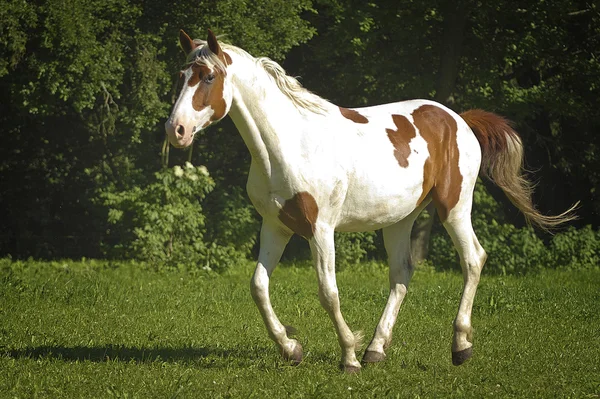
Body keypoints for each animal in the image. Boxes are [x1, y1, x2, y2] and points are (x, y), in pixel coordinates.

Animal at [164, 29, 576, 374]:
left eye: (208, 77)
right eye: (182, 76)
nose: (176, 130)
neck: (289, 144)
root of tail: (458, 119)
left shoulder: (321, 229)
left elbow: (328, 293)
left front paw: (348, 356)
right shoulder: (276, 227)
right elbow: (258, 287)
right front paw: (291, 349)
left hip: (454, 207)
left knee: (473, 259)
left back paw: (460, 347)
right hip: (399, 220)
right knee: (402, 275)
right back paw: (377, 349)